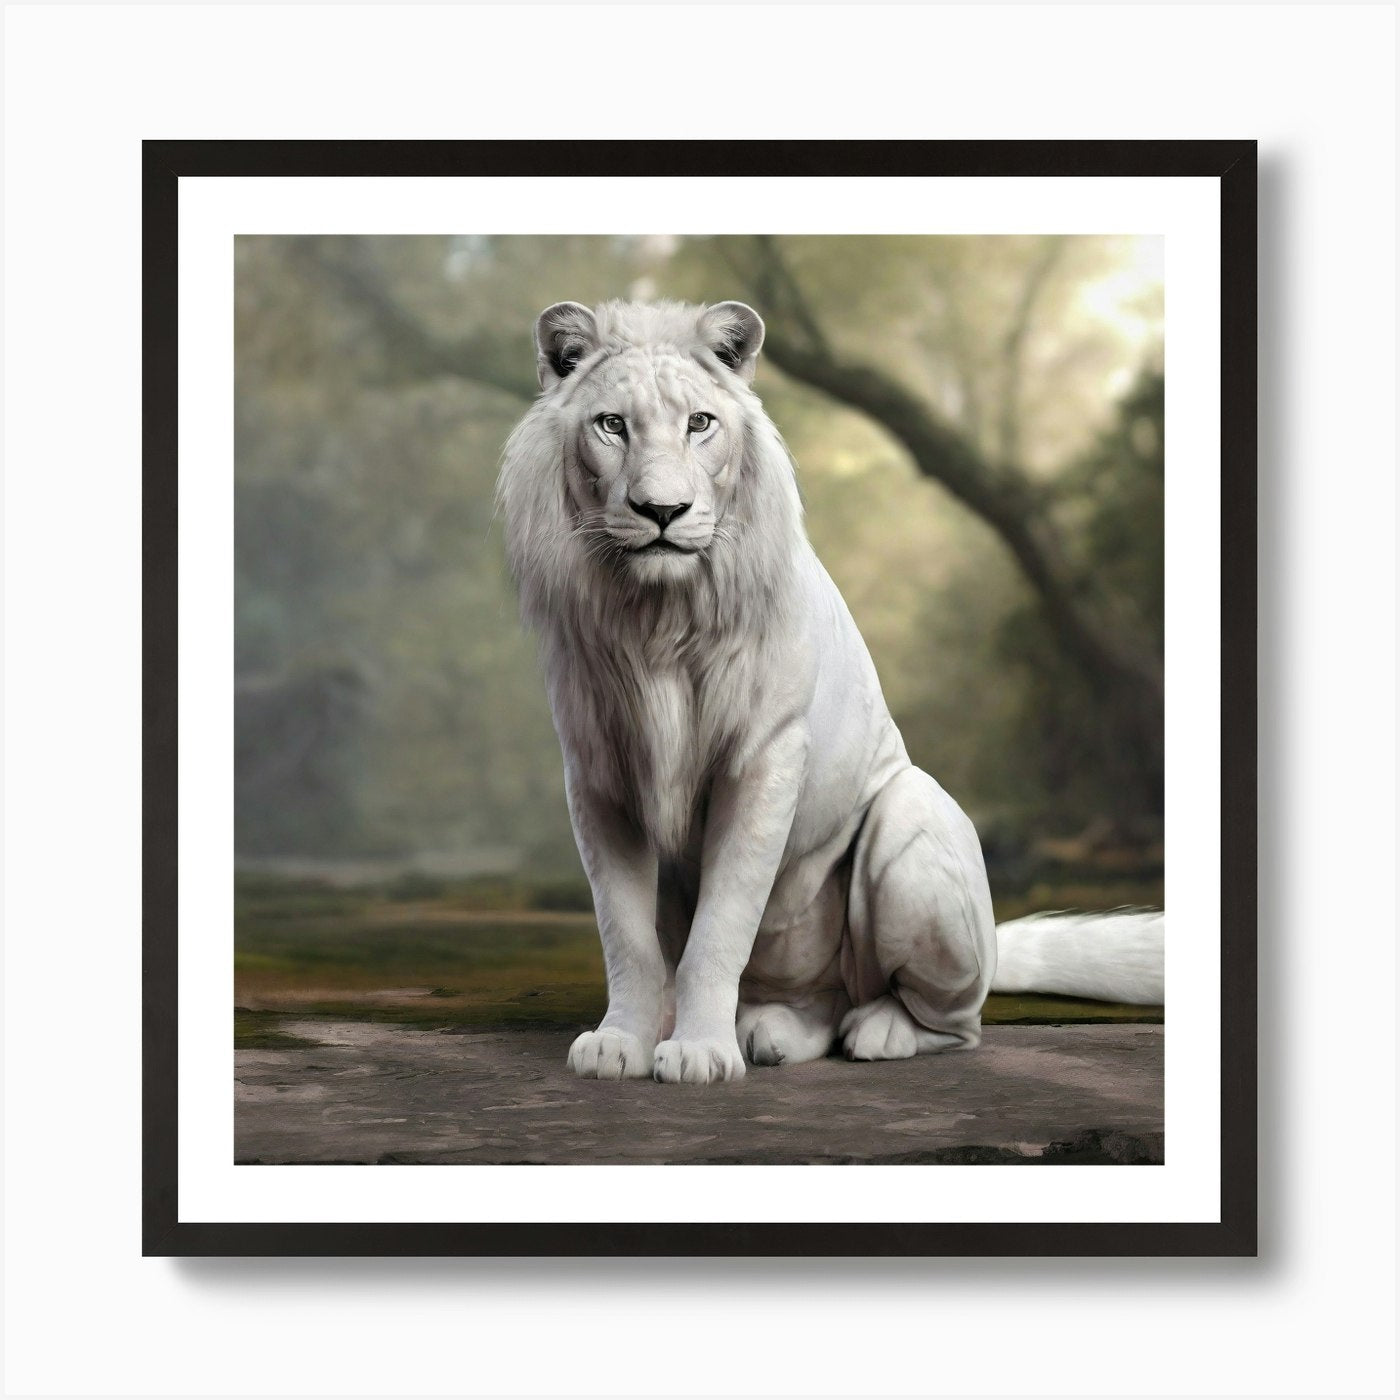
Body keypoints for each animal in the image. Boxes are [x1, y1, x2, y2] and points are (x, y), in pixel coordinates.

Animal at [497, 297, 1163, 1084]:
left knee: (953, 1021)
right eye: (612, 425)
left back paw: (876, 1032)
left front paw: (699, 1053)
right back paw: (771, 1032)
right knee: (811, 1007)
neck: (656, 618)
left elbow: (720, 927)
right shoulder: (599, 773)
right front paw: (619, 1044)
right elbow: (624, 933)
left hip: (909, 823)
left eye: (699, 423)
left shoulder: (764, 758)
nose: (662, 511)